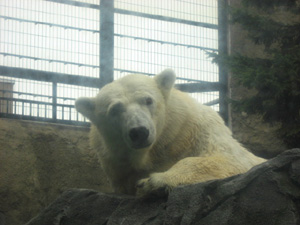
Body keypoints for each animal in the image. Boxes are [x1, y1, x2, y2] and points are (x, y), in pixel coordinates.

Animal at [75, 68, 264, 195]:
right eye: (114, 109)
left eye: (148, 100)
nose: (139, 132)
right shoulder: (117, 166)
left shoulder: (197, 129)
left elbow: (230, 159)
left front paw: (153, 180)